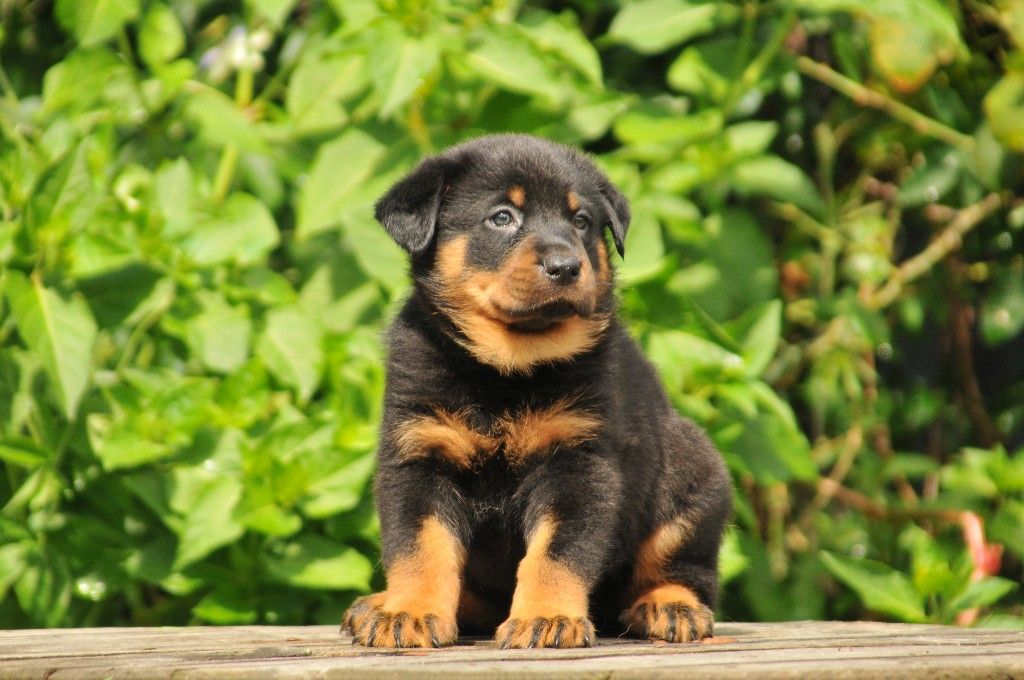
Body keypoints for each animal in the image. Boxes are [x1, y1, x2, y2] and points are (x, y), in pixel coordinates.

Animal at [341, 134, 731, 649]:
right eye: (502, 217)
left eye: (581, 221)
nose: (566, 266)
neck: (506, 371)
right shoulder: (420, 457)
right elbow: (421, 549)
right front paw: (409, 612)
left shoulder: (578, 466)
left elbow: (555, 555)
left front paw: (548, 619)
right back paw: (378, 604)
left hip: (691, 472)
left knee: (685, 569)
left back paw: (667, 605)